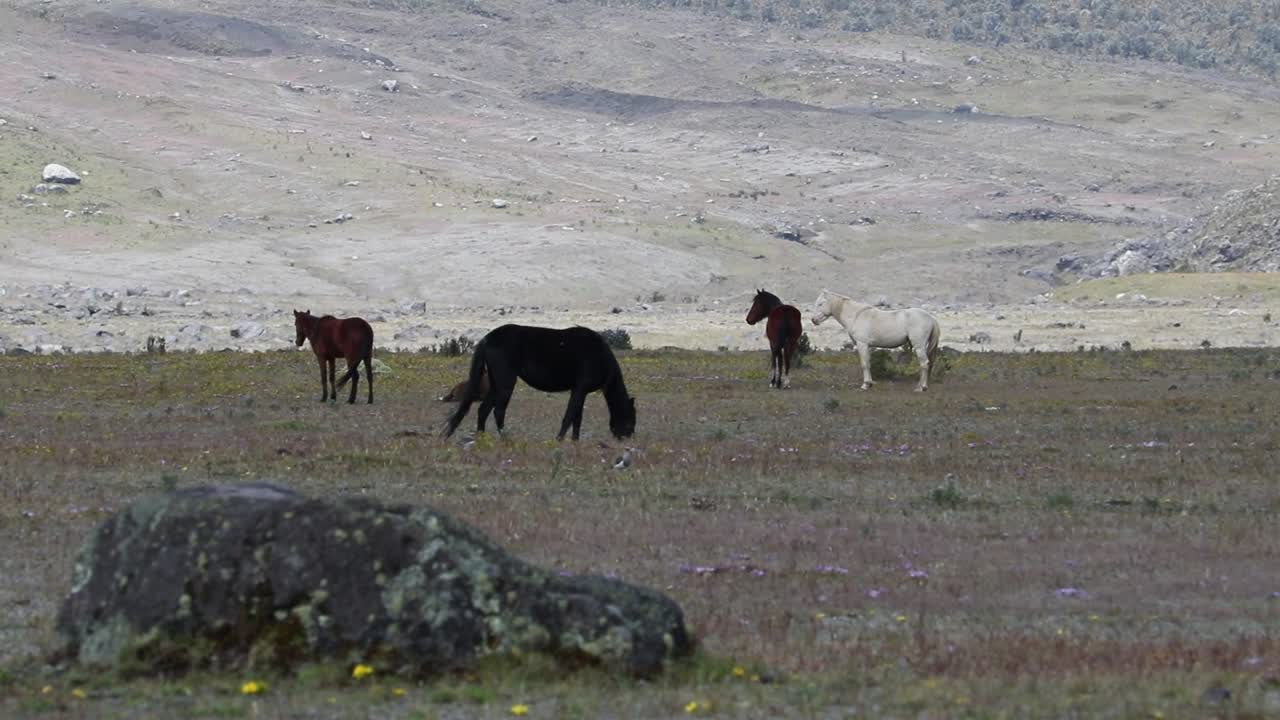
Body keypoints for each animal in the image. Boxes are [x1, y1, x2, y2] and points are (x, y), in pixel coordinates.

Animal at [442, 324, 636, 441]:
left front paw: (575, 442)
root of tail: (486, 339)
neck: (601, 357)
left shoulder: (580, 391)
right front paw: (559, 440)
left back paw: (482, 439)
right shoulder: (580, 389)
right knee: (498, 410)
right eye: (630, 421)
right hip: (505, 382)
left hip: (495, 383)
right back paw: (505, 439)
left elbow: (577, 418)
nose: (627, 437)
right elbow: (569, 416)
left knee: (483, 410)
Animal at [809, 289, 941, 391]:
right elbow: (868, 363)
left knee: (924, 364)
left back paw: (921, 388)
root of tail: (931, 318)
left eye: (820, 304)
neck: (856, 316)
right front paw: (870, 383)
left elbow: (864, 364)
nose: (813, 320)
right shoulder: (868, 346)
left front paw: (865, 385)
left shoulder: (862, 344)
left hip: (919, 347)